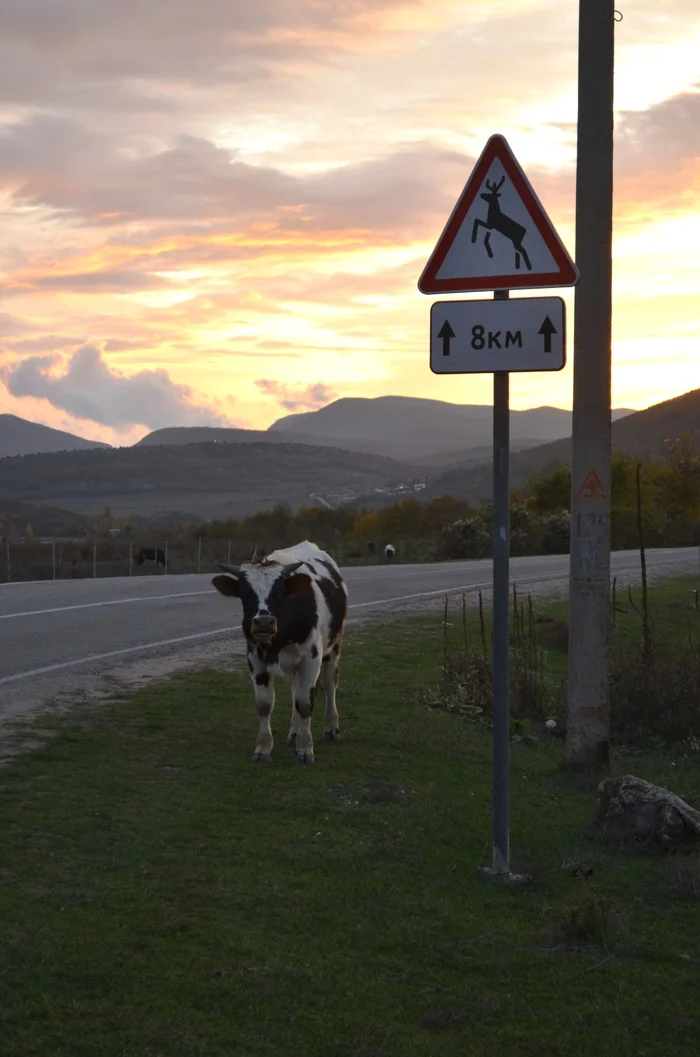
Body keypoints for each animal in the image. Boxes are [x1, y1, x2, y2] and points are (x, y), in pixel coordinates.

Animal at [211, 541, 348, 765]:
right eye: (245, 593)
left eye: (279, 591)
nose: (263, 622)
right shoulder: (254, 659)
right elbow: (265, 704)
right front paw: (263, 748)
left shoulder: (311, 659)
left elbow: (305, 703)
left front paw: (305, 749)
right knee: (295, 691)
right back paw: (294, 733)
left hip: (333, 647)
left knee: (329, 685)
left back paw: (331, 728)